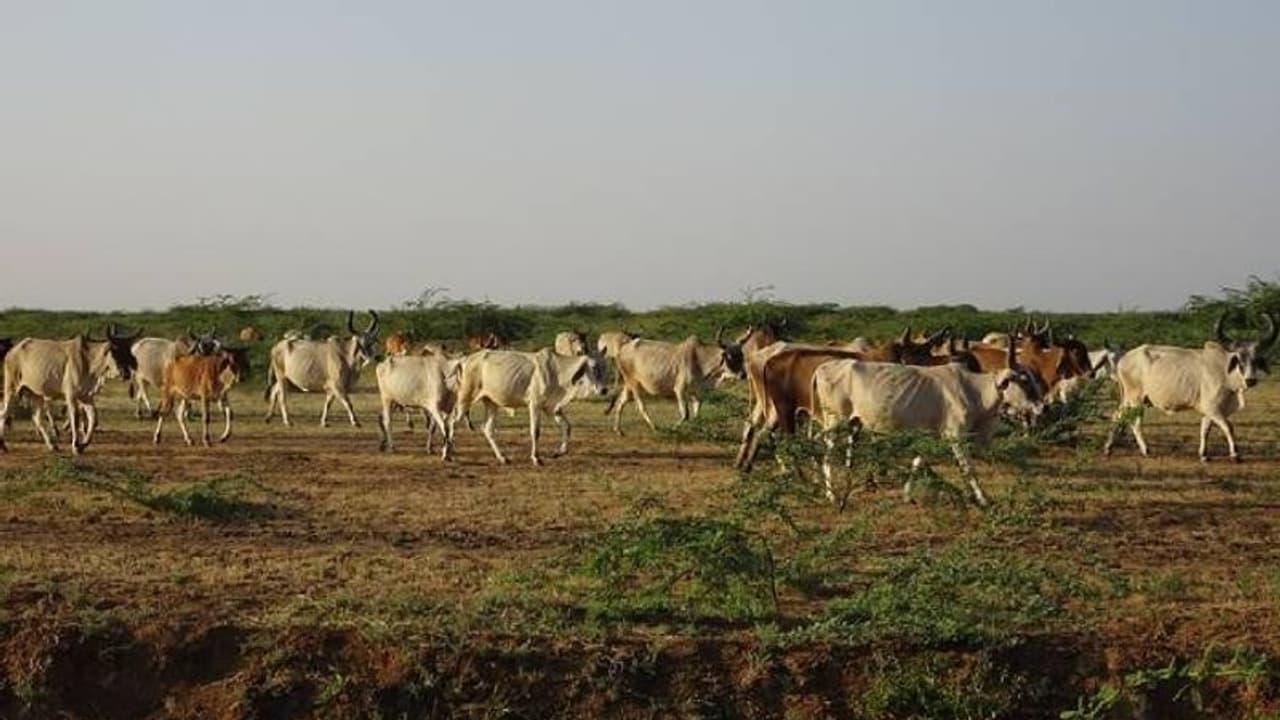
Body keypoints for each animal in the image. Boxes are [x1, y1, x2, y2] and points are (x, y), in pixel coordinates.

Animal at [0, 325, 140, 454]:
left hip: (37, 394)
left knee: (37, 418)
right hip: (12, 388)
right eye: (115, 350)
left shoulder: (86, 397)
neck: (89, 361)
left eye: (127, 350)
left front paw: (84, 444)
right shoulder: (71, 395)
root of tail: (12, 351)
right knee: (5, 412)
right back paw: (3, 445)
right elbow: (75, 418)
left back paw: (52, 446)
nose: (126, 374)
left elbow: (93, 418)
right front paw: (76, 445)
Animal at [454, 349, 609, 465]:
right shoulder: (535, 404)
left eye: (605, 367)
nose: (604, 390)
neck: (558, 371)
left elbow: (567, 427)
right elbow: (535, 431)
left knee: (487, 428)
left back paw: (503, 458)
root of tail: (465, 359)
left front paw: (559, 452)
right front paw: (536, 458)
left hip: (491, 403)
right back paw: (450, 454)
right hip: (466, 397)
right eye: (594, 368)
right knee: (453, 421)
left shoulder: (553, 408)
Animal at [607, 331, 744, 434]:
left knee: (621, 402)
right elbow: (685, 414)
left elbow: (696, 413)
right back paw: (654, 427)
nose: (743, 374)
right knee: (641, 407)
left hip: (629, 385)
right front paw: (674, 428)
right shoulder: (679, 389)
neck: (700, 359)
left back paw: (618, 430)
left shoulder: (696, 392)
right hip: (634, 384)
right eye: (730, 357)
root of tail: (622, 349)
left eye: (741, 357)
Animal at [812, 341, 1046, 505]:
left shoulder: (929, 434)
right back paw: (831, 495)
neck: (974, 390)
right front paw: (983, 499)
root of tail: (823, 367)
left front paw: (907, 496)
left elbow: (917, 462)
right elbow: (968, 468)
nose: (1042, 407)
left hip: (845, 422)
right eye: (1025, 381)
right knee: (827, 454)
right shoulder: (956, 437)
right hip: (835, 421)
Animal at [1104, 313, 1276, 462]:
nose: (1251, 380)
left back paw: (1108, 448)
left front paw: (1203, 455)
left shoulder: (1209, 411)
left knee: (1117, 416)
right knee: (1135, 422)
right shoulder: (1213, 408)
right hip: (1136, 399)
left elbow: (1205, 430)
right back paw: (1145, 450)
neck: (1224, 372)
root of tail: (1123, 359)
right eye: (1239, 360)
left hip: (1128, 399)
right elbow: (1229, 427)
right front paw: (1235, 455)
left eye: (1256, 359)